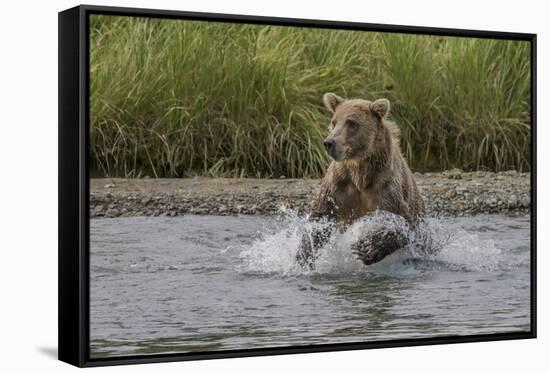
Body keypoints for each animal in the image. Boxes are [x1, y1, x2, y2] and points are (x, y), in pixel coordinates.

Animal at [298, 93, 426, 268]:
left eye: (352, 123)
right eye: (334, 121)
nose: (329, 143)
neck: (360, 173)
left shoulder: (386, 189)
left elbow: (403, 223)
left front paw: (366, 248)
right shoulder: (339, 187)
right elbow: (319, 217)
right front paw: (303, 256)